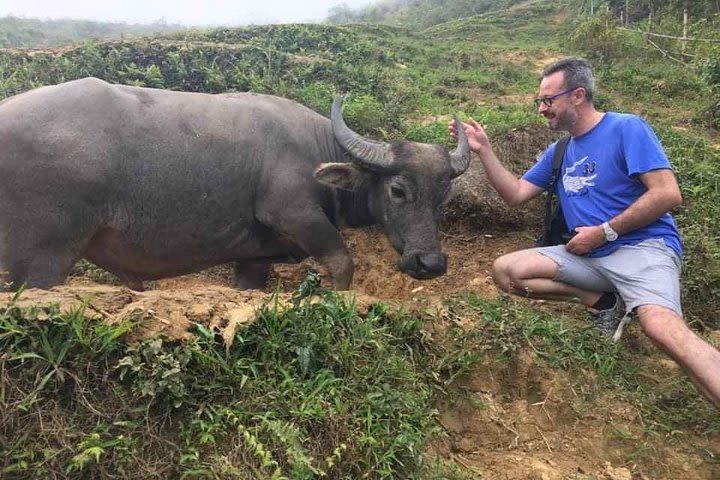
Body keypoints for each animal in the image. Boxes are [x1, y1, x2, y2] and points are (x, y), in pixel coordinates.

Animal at [0, 77, 470, 290]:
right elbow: (342, 263)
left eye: (442, 198)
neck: (316, 147)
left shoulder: (253, 258)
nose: (429, 263)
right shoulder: (295, 215)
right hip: (43, 261)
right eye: (398, 191)